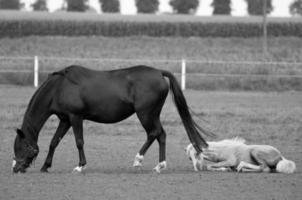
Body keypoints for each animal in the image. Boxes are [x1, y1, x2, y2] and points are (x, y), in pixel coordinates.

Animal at [12, 65, 210, 173]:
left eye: (20, 147)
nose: (15, 168)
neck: (60, 87)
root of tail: (159, 73)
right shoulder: (65, 119)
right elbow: (54, 142)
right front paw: (45, 166)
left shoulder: (76, 118)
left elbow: (79, 142)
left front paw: (80, 166)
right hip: (152, 114)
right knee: (161, 135)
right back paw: (159, 165)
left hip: (145, 114)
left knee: (154, 133)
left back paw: (138, 160)